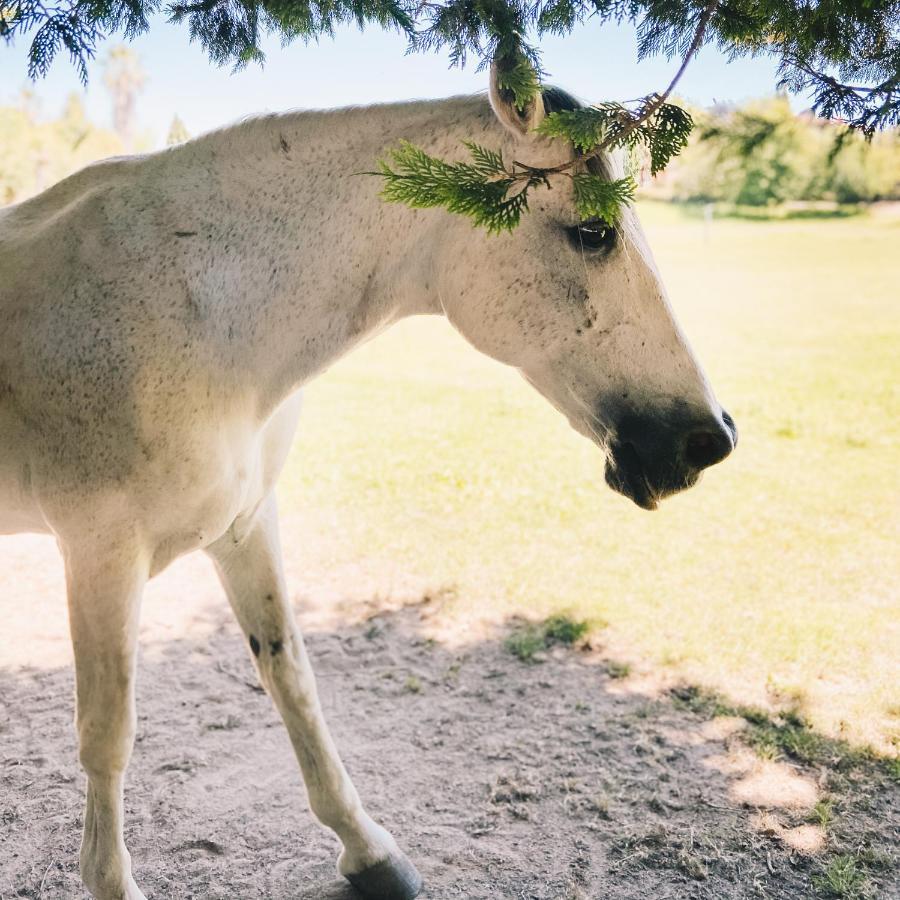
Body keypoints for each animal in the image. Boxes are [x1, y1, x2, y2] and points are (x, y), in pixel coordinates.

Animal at [0, 72, 736, 900]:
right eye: (592, 234)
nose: (710, 439)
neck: (195, 312)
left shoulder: (246, 527)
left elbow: (293, 683)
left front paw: (368, 849)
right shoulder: (101, 553)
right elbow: (108, 735)